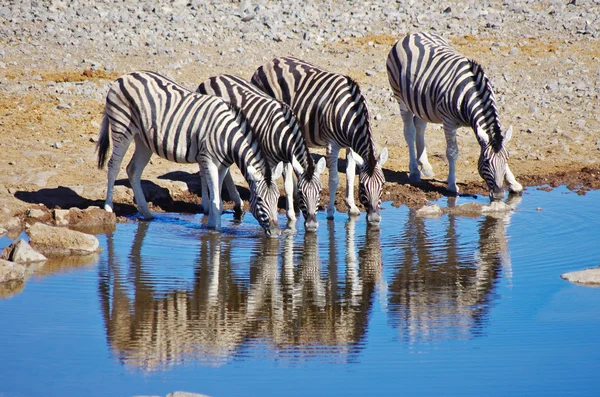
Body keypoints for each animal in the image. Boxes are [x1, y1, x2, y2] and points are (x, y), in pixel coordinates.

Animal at [96, 70, 284, 235]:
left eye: (277, 199)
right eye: (259, 200)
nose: (276, 233)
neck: (227, 137)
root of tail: (124, 77)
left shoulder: (222, 166)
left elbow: (218, 198)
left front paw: (211, 224)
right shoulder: (209, 160)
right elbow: (215, 198)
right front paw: (216, 231)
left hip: (143, 140)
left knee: (132, 169)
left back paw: (146, 213)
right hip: (122, 127)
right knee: (113, 166)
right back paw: (108, 208)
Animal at [197, 72, 326, 230]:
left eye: (320, 191)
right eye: (301, 194)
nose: (312, 225)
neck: (283, 130)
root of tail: (211, 78)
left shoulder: (288, 159)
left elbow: (288, 186)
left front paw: (291, 218)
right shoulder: (269, 160)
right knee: (204, 168)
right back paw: (207, 204)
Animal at [250, 55, 386, 226]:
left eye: (383, 185)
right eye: (362, 186)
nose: (374, 220)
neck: (350, 112)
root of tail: (266, 64)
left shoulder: (350, 145)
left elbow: (349, 173)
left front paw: (352, 206)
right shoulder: (332, 144)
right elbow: (334, 179)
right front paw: (330, 212)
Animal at [386, 32, 524, 200]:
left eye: (507, 158)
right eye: (485, 162)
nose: (498, 194)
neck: (471, 93)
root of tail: (412, 34)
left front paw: (513, 183)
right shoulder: (448, 122)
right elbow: (452, 152)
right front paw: (452, 185)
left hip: (421, 101)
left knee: (420, 127)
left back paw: (425, 166)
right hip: (401, 98)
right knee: (409, 132)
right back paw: (414, 171)